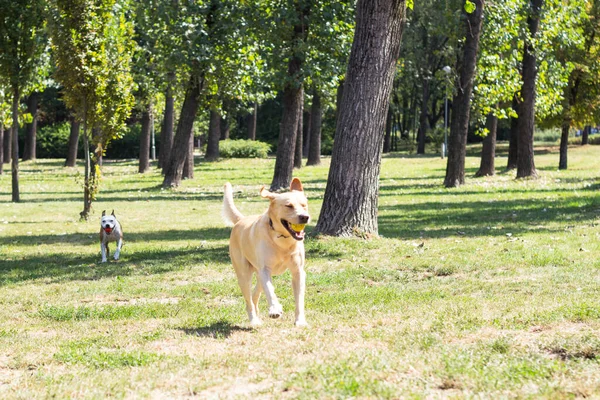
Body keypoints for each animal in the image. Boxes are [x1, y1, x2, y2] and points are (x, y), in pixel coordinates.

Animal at [224, 180, 312, 326]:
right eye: (289, 206)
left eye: (304, 205)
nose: (305, 217)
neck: (283, 240)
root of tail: (241, 220)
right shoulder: (265, 270)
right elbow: (270, 291)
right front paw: (275, 309)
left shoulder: (298, 271)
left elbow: (299, 298)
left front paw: (300, 321)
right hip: (244, 275)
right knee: (248, 299)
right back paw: (254, 320)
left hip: (258, 275)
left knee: (255, 294)